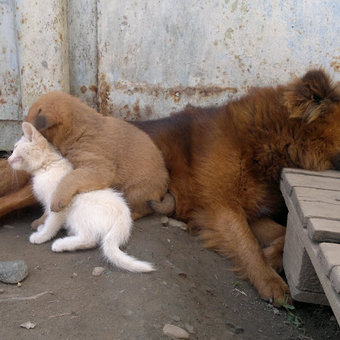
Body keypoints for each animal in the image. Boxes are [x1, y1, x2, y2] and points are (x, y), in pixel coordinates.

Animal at [7, 122, 155, 274]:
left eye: (15, 148)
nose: (7, 159)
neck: (46, 166)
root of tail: (124, 220)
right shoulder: (49, 205)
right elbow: (47, 217)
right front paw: (42, 228)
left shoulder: (57, 204)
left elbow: (51, 223)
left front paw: (41, 236)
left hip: (80, 210)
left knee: (89, 239)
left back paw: (60, 244)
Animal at [22, 91, 169, 223]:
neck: (78, 130)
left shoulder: (98, 168)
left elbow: (70, 178)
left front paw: (58, 199)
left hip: (135, 191)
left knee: (143, 209)